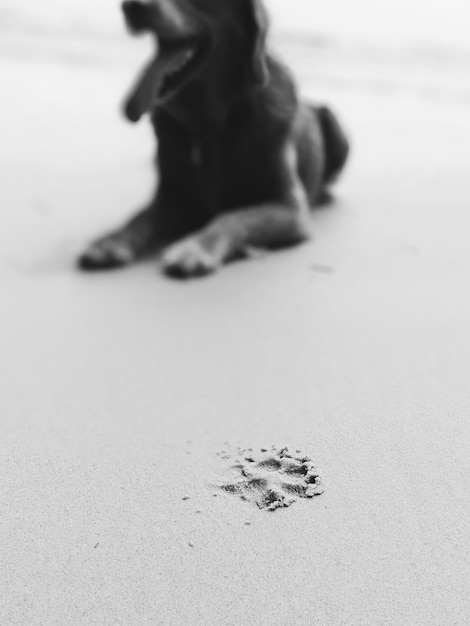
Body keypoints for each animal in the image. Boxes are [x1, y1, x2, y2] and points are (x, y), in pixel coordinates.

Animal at [79, 0, 348, 278]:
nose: (131, 6)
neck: (208, 124)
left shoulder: (290, 207)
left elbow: (232, 217)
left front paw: (196, 247)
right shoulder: (172, 195)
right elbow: (140, 216)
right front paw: (112, 241)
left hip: (335, 126)